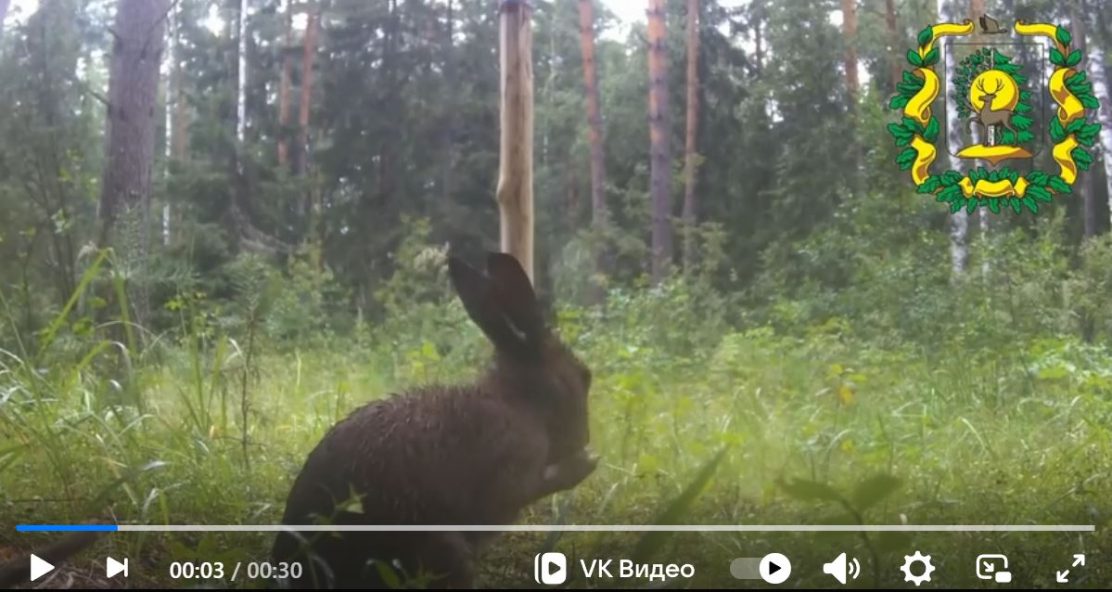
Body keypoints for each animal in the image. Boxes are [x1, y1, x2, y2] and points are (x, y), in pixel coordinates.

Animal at [271, 252, 596, 589]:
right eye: (585, 377)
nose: (585, 438)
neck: (521, 401)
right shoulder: (512, 472)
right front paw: (586, 463)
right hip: (443, 548)